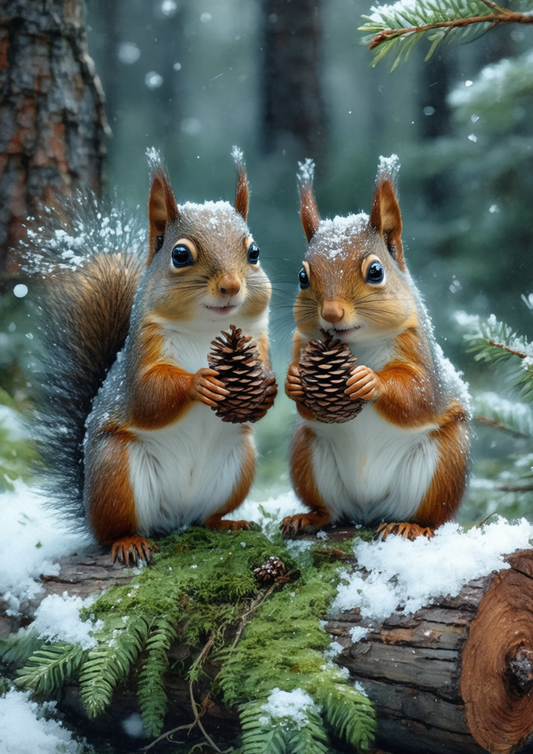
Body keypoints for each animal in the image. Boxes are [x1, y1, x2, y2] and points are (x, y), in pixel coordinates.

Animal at [31, 147, 277, 565]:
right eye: (180, 254)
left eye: (254, 251)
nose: (231, 285)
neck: (207, 330)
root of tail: (175, 517)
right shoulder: (142, 352)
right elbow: (148, 398)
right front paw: (199, 382)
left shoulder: (257, 339)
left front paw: (267, 389)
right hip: (115, 471)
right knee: (114, 530)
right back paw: (129, 542)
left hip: (239, 464)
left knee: (206, 516)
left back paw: (227, 523)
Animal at [282, 156, 471, 540]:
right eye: (302, 277)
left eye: (375, 272)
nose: (331, 314)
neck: (358, 346)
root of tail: (367, 509)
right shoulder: (301, 343)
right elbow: (307, 404)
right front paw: (293, 380)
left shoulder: (418, 350)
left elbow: (419, 395)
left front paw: (371, 381)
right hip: (306, 451)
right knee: (329, 509)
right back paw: (307, 518)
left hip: (445, 464)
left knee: (434, 516)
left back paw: (411, 525)